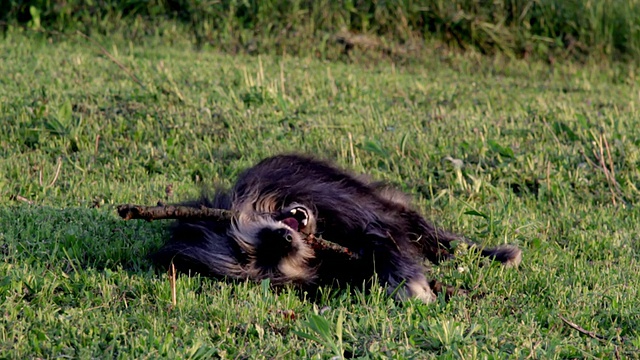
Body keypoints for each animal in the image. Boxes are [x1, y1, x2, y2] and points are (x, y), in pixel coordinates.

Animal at [152, 153, 524, 302]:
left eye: (244, 250)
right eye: (260, 264)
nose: (283, 238)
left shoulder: (345, 204)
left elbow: (382, 233)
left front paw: (410, 281)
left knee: (431, 234)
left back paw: (494, 254)